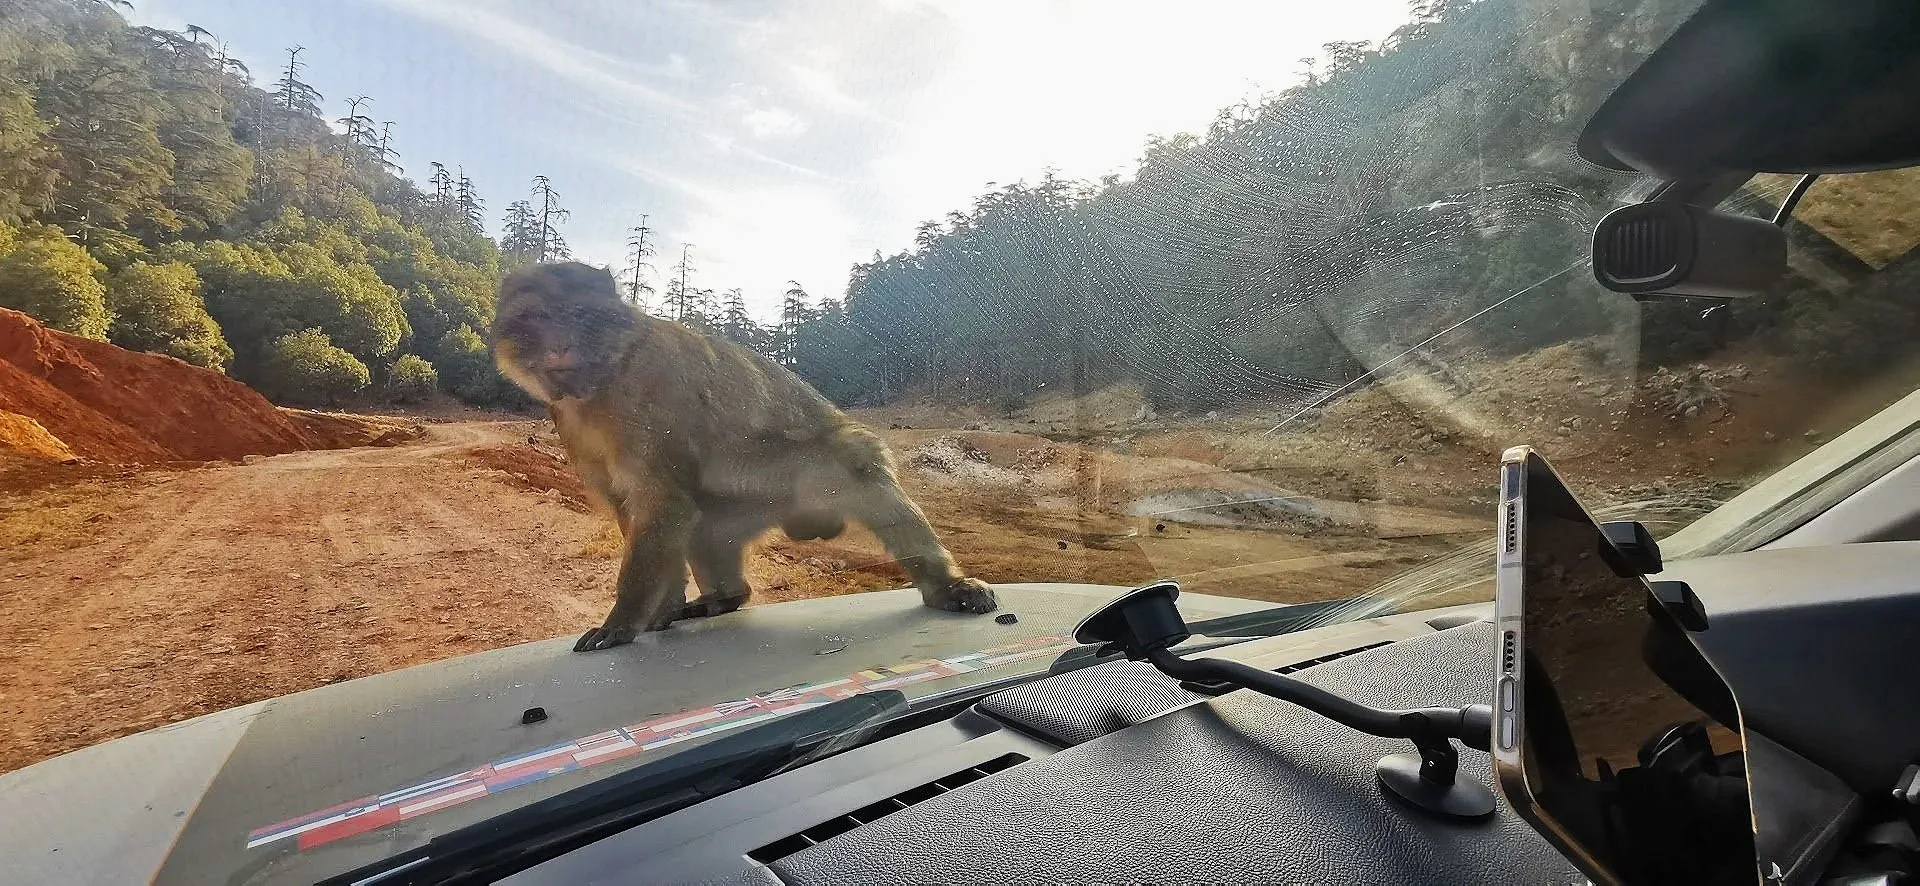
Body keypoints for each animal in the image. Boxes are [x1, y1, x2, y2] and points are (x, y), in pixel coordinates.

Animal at [491, 261, 998, 652]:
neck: (603, 382)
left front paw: (623, 620)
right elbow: (639, 511)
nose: (559, 344)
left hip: (800, 473)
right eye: (535, 317)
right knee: (701, 528)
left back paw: (947, 587)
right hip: (740, 510)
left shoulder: (649, 408)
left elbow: (663, 506)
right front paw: (662, 609)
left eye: (579, 313)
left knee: (857, 464)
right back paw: (725, 596)